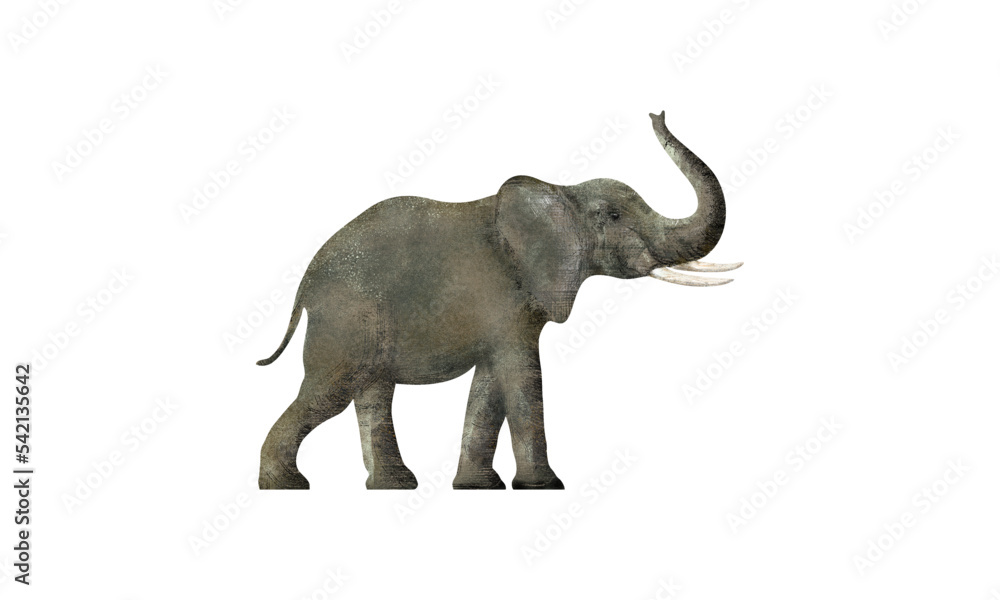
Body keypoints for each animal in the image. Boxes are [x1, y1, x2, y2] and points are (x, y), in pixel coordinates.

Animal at [257, 111, 740, 490]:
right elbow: (521, 375)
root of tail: (307, 278)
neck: (561, 191)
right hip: (348, 313)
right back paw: (285, 485)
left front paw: (477, 487)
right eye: (615, 216)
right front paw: (545, 486)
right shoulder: (507, 298)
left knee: (372, 390)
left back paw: (392, 486)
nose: (657, 114)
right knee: (330, 390)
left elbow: (491, 384)